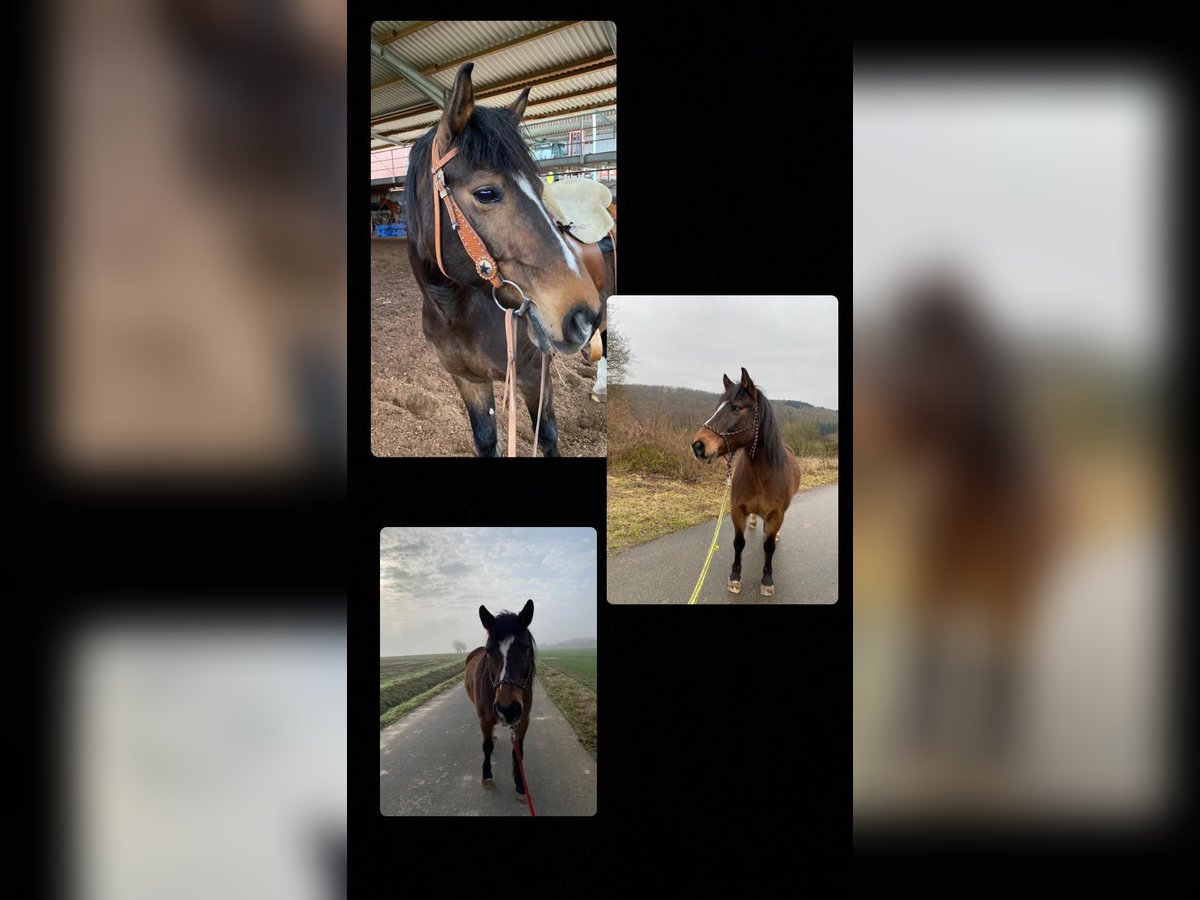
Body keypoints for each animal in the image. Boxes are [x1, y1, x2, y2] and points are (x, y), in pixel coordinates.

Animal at [405, 63, 609, 458]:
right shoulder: (469, 382)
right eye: (486, 193)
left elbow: (547, 437)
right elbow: (486, 441)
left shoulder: (534, 378)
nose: (583, 315)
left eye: (541, 187)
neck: (456, 313)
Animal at [463, 602, 535, 801]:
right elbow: (487, 746)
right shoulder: (485, 719)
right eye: (490, 651)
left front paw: (520, 784)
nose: (507, 709)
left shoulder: (523, 720)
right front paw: (487, 776)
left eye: (527, 649)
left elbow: (518, 751)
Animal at [691, 369, 801, 595]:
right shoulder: (737, 510)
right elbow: (738, 543)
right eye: (717, 407)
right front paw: (735, 577)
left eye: (736, 407)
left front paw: (767, 580)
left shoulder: (776, 515)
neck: (762, 475)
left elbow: (769, 547)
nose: (698, 445)